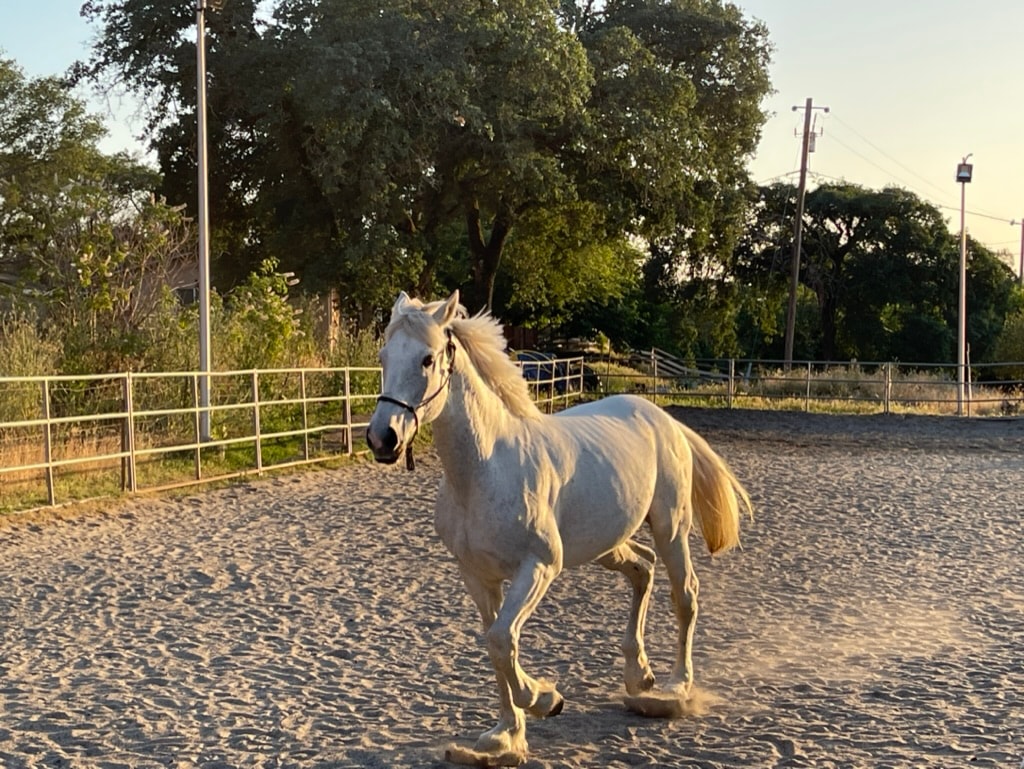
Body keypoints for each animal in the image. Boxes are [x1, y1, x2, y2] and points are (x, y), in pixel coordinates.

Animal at [366, 291, 752, 766]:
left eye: (427, 358)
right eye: (383, 356)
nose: (382, 438)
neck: (486, 469)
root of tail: (664, 420)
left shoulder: (540, 566)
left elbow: (502, 639)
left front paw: (544, 700)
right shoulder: (478, 577)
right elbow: (495, 645)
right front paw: (504, 738)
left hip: (671, 528)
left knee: (685, 595)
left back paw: (674, 688)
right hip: (606, 544)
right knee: (642, 570)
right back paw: (638, 675)